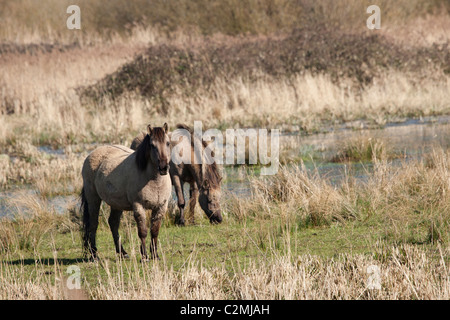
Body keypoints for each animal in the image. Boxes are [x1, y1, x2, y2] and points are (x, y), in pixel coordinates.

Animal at [80, 122, 171, 260]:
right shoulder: (138, 206)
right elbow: (143, 232)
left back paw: (122, 252)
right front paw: (145, 256)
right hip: (93, 199)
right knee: (93, 224)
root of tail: (92, 154)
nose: (163, 167)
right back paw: (94, 254)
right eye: (152, 145)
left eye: (168, 143)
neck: (154, 180)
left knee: (113, 223)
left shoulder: (161, 207)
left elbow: (155, 231)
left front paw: (155, 255)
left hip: (116, 204)